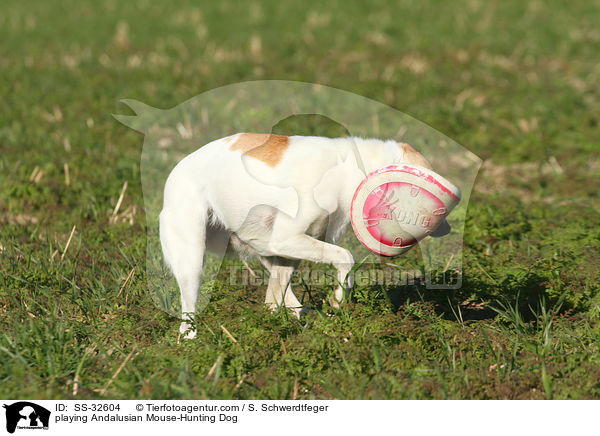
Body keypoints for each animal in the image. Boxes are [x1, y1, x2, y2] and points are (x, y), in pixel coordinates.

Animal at [159, 133, 450, 338]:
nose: (446, 227)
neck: (350, 172)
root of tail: (174, 171)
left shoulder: (290, 248)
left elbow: (276, 298)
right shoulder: (286, 238)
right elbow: (346, 258)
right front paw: (338, 299)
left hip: (270, 251)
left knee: (279, 295)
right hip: (193, 261)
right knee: (188, 312)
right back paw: (190, 341)